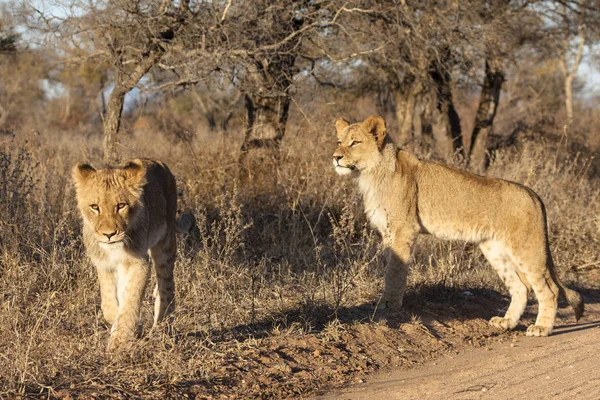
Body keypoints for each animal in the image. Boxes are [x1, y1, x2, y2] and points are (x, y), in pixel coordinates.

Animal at [73, 158, 192, 352]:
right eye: (95, 207)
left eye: (121, 206)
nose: (109, 234)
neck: (114, 249)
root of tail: (157, 162)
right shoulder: (103, 264)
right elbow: (109, 303)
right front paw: (129, 327)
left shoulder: (138, 262)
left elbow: (131, 300)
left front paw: (119, 341)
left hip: (165, 243)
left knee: (166, 288)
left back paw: (160, 330)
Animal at [330, 115, 584, 338]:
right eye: (339, 141)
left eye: (355, 142)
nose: (335, 157)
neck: (370, 174)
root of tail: (533, 194)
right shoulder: (388, 232)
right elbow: (389, 267)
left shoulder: (404, 230)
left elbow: (395, 272)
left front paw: (388, 305)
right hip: (494, 249)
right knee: (521, 287)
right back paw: (506, 322)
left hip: (526, 248)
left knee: (549, 291)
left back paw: (541, 328)